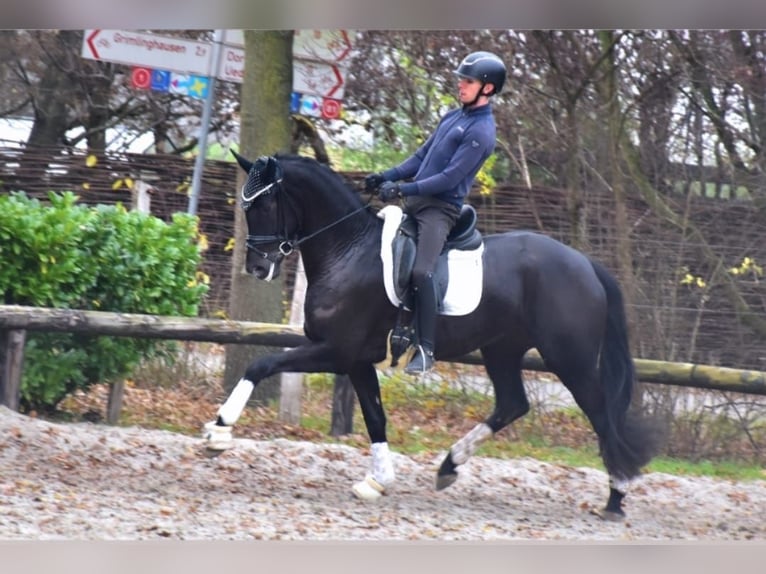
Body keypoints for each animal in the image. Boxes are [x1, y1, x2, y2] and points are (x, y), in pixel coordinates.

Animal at [204, 152, 660, 520]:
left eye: (265, 202)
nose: (257, 268)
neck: (348, 249)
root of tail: (587, 265)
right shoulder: (357, 360)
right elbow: (375, 417)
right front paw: (378, 481)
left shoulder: (335, 351)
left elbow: (261, 363)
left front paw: (219, 431)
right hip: (502, 349)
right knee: (513, 403)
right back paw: (449, 466)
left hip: (570, 359)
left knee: (601, 415)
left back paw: (616, 499)